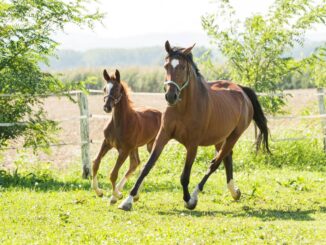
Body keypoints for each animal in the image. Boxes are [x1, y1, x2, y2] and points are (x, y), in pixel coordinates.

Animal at [92, 69, 161, 205]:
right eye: (104, 89)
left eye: (117, 89)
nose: (106, 107)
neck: (120, 122)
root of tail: (161, 113)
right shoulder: (106, 143)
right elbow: (96, 163)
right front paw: (99, 192)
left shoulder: (124, 150)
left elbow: (113, 174)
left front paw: (116, 196)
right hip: (135, 147)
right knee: (135, 164)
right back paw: (131, 195)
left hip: (150, 145)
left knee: (146, 165)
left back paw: (129, 194)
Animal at [119, 40, 270, 211]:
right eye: (166, 66)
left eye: (183, 67)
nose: (171, 96)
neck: (183, 108)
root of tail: (242, 91)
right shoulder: (163, 136)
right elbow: (147, 167)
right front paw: (129, 199)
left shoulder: (192, 144)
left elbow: (185, 176)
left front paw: (188, 200)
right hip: (220, 138)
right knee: (226, 159)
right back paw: (234, 192)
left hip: (234, 136)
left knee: (215, 163)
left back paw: (197, 195)